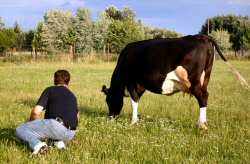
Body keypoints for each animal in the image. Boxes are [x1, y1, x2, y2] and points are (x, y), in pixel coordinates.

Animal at [101, 34, 248, 129]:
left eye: (108, 100)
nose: (110, 118)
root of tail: (202, 36)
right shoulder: (140, 85)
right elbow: (137, 100)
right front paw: (137, 119)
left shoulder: (131, 81)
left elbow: (134, 101)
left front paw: (133, 122)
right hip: (205, 78)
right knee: (205, 94)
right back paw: (203, 123)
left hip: (193, 81)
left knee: (202, 97)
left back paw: (201, 125)